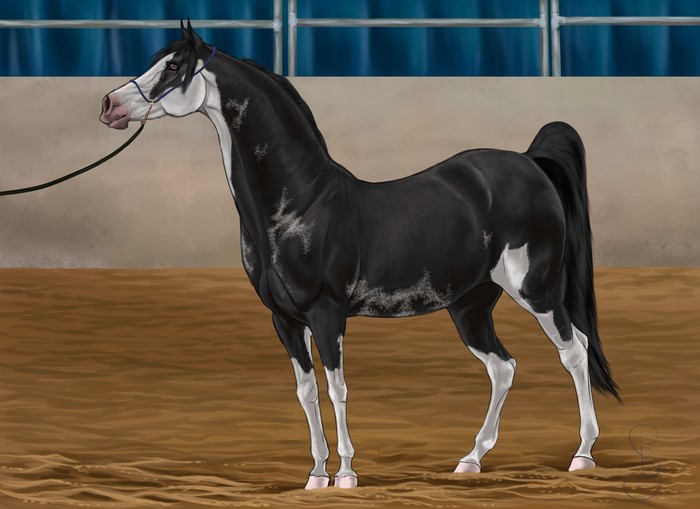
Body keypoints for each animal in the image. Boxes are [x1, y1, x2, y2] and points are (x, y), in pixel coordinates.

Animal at [99, 21, 620, 490]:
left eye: (173, 66)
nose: (109, 105)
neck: (301, 204)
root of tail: (530, 162)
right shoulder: (285, 320)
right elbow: (307, 391)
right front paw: (315, 475)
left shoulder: (327, 313)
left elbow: (337, 389)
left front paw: (346, 474)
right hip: (470, 305)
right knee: (503, 367)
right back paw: (470, 460)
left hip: (536, 290)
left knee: (574, 351)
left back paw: (582, 456)